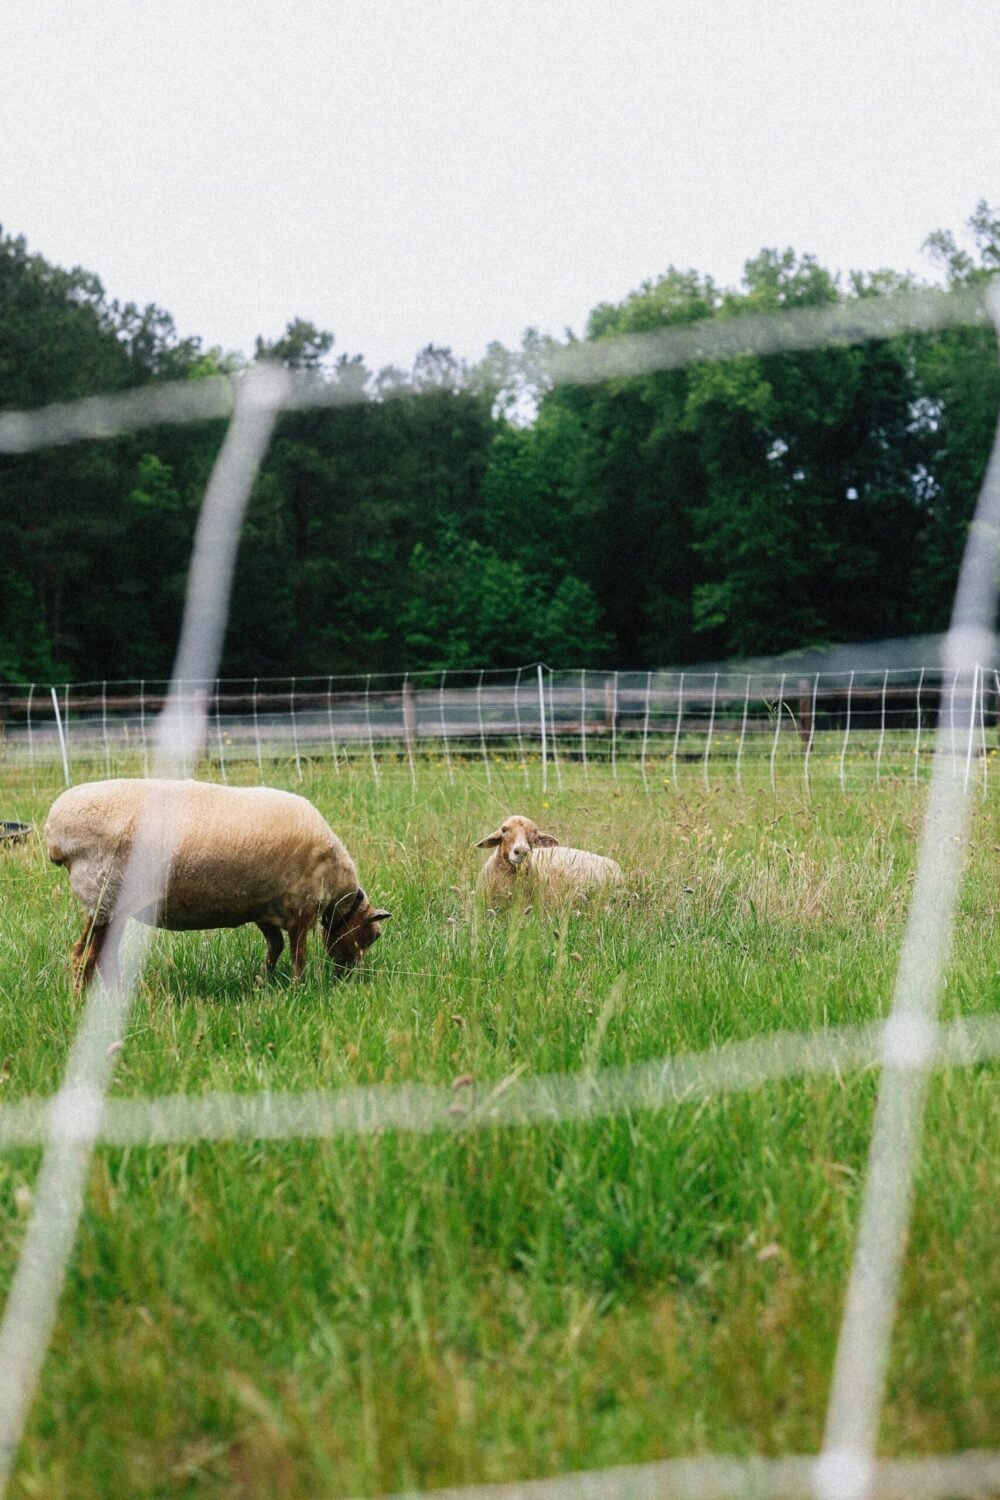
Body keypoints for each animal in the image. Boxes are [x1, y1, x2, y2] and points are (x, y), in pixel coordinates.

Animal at [45, 778, 390, 990]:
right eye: (373, 935)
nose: (347, 976)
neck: (336, 890)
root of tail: (55, 835)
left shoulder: (264, 909)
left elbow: (274, 947)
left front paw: (263, 981)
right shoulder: (300, 908)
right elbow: (298, 956)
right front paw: (298, 988)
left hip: (113, 905)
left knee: (102, 955)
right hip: (101, 894)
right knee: (83, 956)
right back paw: (79, 1000)